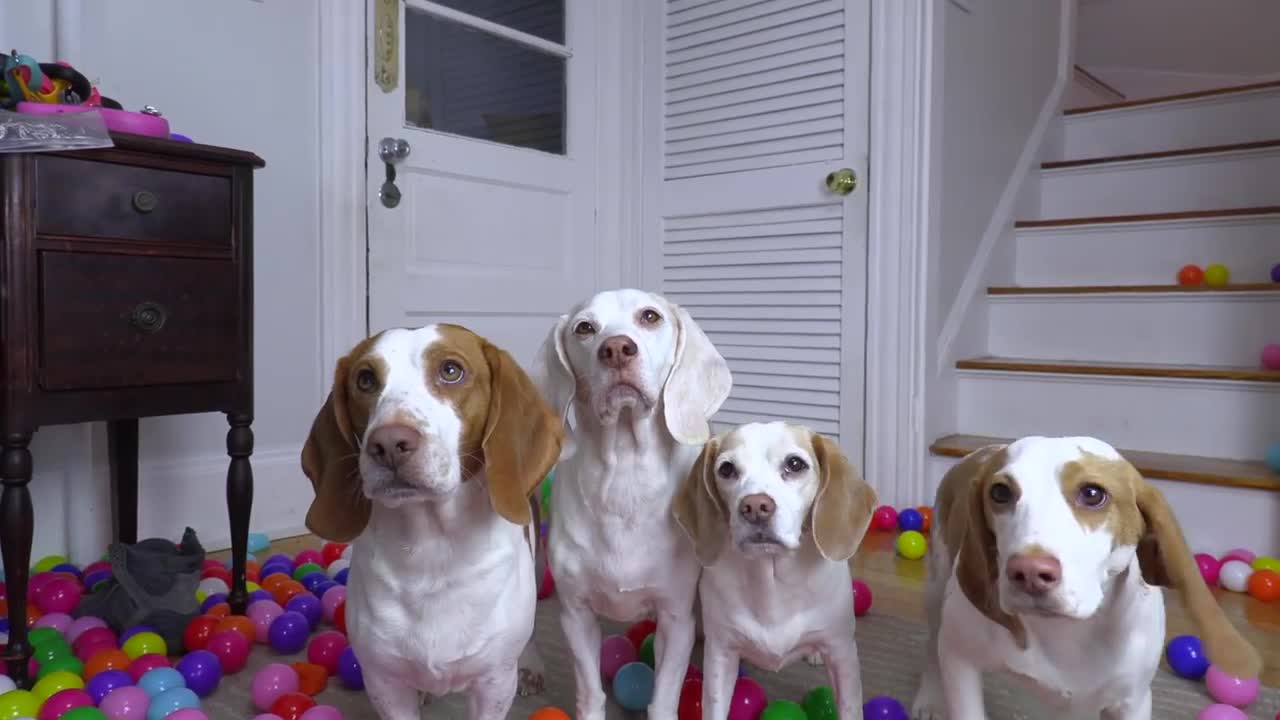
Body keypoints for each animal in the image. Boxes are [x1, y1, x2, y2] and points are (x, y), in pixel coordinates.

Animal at [302, 324, 563, 717]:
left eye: (451, 370)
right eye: (365, 380)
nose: (388, 443)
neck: (431, 550)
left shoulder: (493, 685)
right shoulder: (385, 686)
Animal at [670, 420, 880, 717]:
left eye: (795, 464)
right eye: (726, 469)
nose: (755, 506)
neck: (772, 581)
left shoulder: (843, 656)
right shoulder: (721, 654)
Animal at [911, 430, 1259, 717]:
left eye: (1092, 494)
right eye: (999, 493)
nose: (1029, 572)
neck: (1065, 632)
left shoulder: (1132, 701)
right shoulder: (960, 660)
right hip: (936, 588)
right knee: (931, 647)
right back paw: (929, 698)